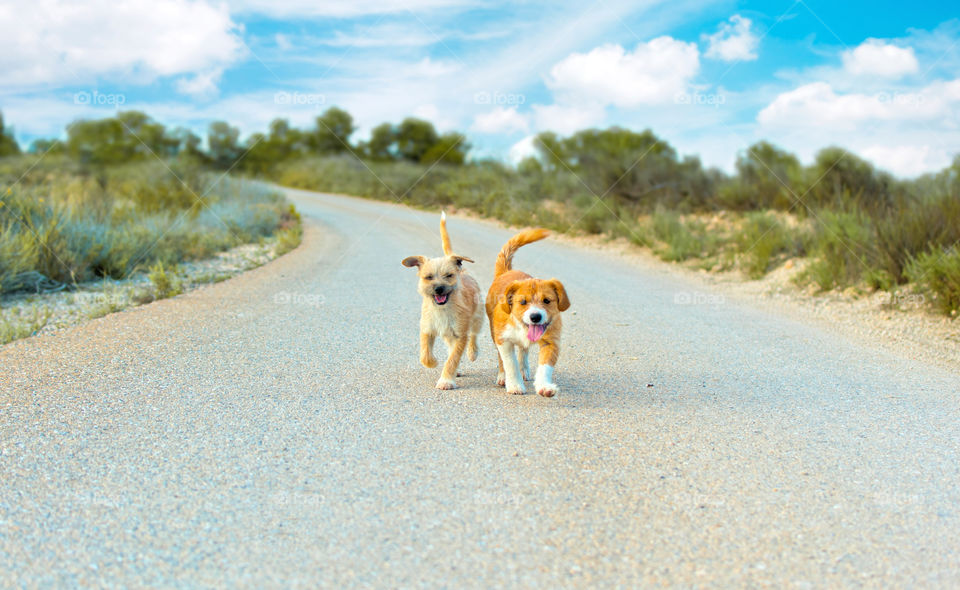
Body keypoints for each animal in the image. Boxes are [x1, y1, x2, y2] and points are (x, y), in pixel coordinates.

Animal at [402, 215, 484, 390]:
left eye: (448, 275)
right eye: (428, 277)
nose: (439, 288)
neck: (443, 309)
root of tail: (463, 270)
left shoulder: (460, 335)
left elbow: (453, 359)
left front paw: (446, 380)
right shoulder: (427, 330)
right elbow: (425, 355)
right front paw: (433, 363)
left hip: (477, 319)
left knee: (473, 336)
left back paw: (472, 352)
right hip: (448, 334)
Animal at [488, 229, 568, 400]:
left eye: (546, 300)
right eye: (523, 302)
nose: (535, 317)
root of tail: (507, 272)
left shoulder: (551, 342)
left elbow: (545, 367)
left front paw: (544, 387)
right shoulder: (503, 340)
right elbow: (510, 363)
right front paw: (514, 385)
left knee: (523, 351)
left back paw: (524, 370)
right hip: (494, 333)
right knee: (501, 358)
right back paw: (502, 377)